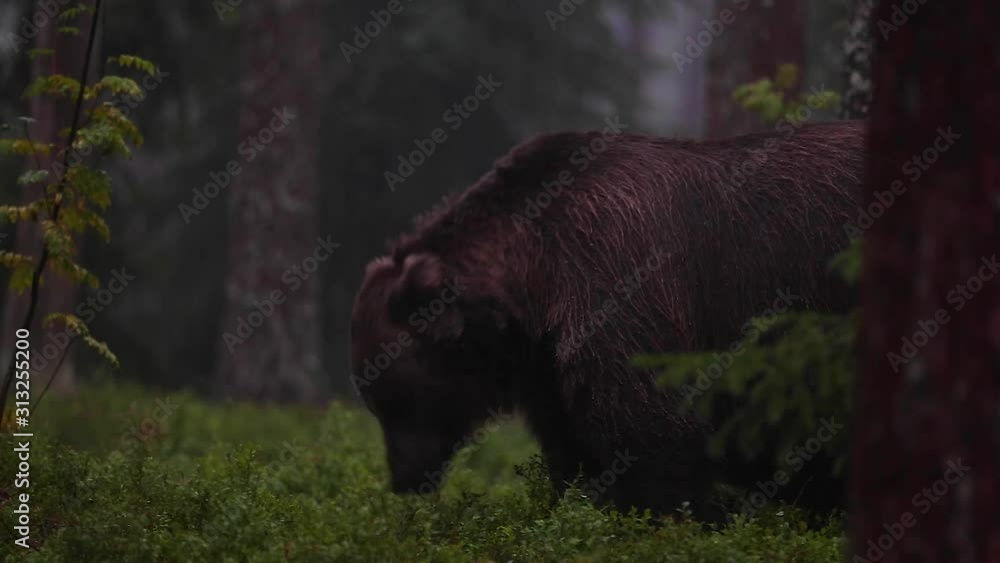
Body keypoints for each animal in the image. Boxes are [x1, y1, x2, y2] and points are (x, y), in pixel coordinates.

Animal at [349, 120, 864, 520]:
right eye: (375, 402)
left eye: (391, 399)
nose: (403, 479)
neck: (536, 277)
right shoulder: (546, 358)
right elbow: (570, 441)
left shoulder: (618, 273)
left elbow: (648, 421)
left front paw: (676, 513)